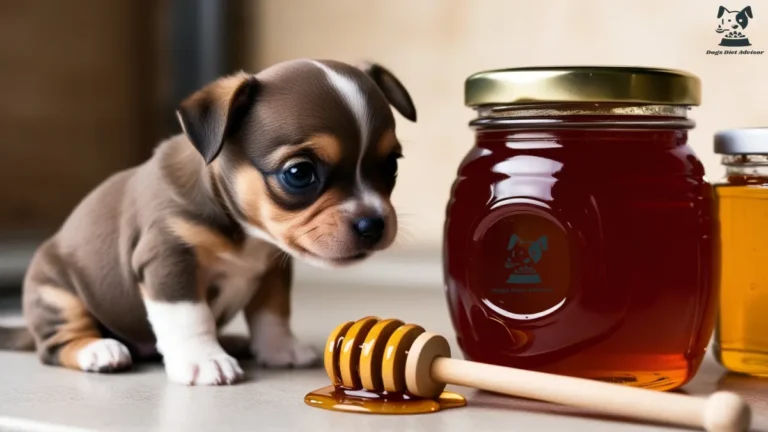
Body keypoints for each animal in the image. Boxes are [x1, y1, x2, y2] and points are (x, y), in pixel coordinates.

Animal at [0, 58, 414, 384]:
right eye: (299, 173)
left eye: (391, 166)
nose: (373, 224)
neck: (246, 233)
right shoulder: (168, 260)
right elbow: (190, 316)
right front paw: (204, 360)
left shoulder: (272, 272)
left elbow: (273, 313)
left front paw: (280, 349)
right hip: (56, 294)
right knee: (55, 345)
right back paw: (99, 351)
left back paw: (232, 340)